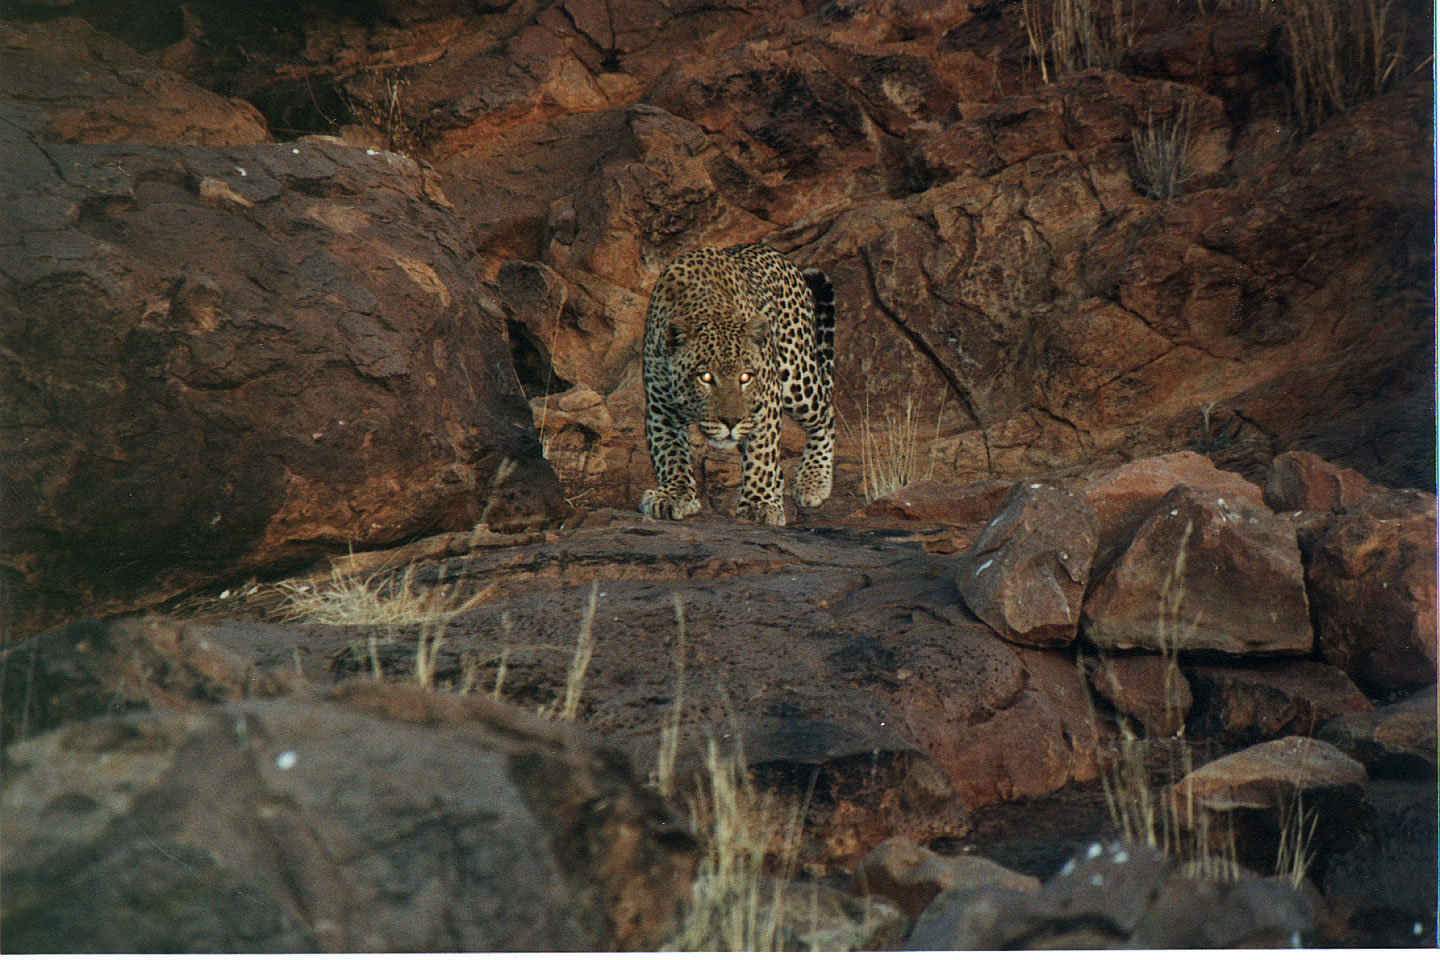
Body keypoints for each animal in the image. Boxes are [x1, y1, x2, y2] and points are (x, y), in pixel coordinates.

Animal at [639, 240, 835, 526]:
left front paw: (760, 503)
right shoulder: (660, 402)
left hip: (797, 374)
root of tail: (780, 256)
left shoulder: (767, 397)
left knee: (826, 414)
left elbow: (763, 453)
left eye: (745, 377)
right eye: (705, 377)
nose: (730, 422)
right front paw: (674, 495)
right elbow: (669, 451)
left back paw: (813, 481)